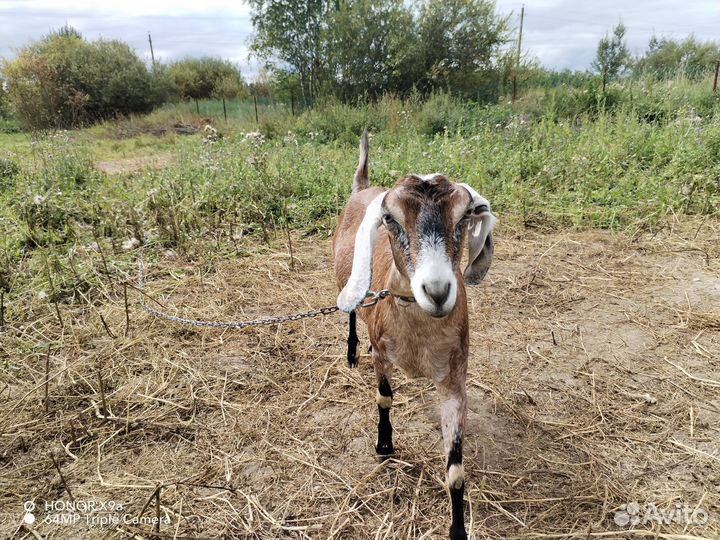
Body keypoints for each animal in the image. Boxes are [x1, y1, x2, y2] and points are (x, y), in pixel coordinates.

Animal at [332, 133, 497, 540]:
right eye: (390, 218)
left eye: (465, 214)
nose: (436, 291)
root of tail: (362, 187)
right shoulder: (382, 354)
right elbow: (385, 397)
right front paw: (384, 444)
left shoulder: (455, 378)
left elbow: (456, 472)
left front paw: (458, 530)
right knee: (352, 313)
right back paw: (352, 352)